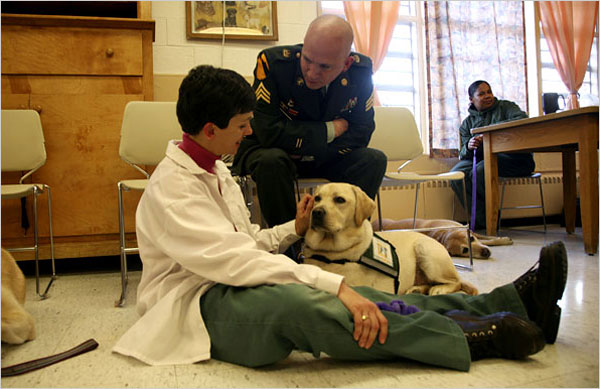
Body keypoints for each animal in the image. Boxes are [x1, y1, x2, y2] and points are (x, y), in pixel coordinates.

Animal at [372, 217, 512, 260]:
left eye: (471, 239)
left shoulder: (473, 232)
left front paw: (503, 239)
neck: (444, 233)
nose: (485, 252)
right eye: (465, 251)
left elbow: (488, 238)